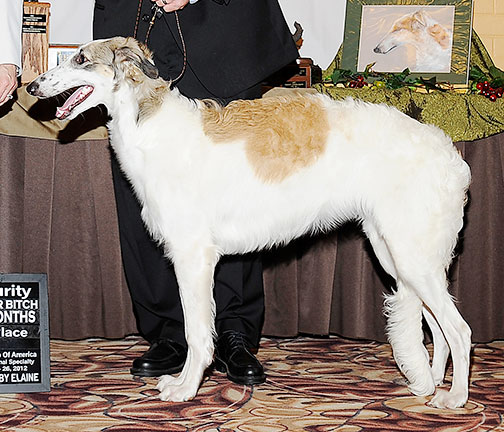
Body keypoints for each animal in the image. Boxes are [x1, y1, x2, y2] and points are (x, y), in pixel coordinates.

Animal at [26, 36, 472, 408]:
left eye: (81, 59)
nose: (31, 88)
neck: (149, 126)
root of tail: (449, 152)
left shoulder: (193, 257)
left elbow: (197, 333)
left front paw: (185, 389)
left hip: (411, 255)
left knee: (460, 331)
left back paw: (455, 398)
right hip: (398, 254)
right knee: (438, 328)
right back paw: (431, 384)